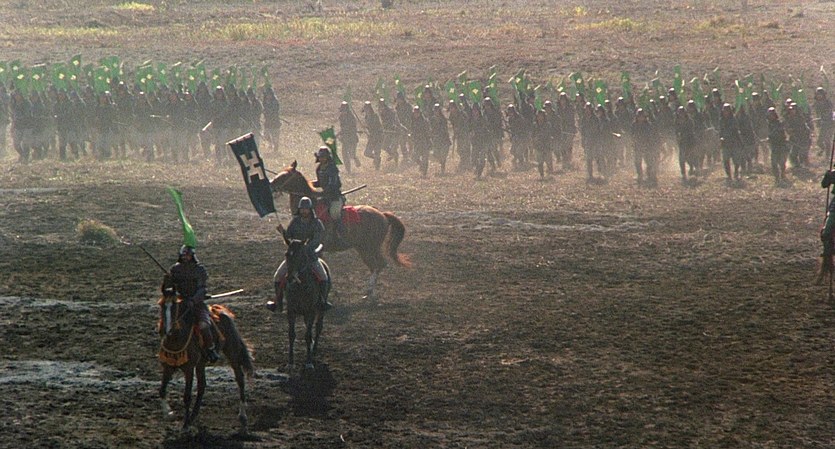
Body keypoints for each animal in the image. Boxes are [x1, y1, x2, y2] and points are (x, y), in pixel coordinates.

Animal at [157, 283, 255, 432]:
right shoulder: (168, 366)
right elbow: (162, 391)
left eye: (175, 306)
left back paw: (243, 416)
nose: (168, 330)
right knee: (202, 385)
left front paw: (185, 425)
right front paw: (169, 414)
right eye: (162, 305)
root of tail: (221, 311)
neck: (176, 339)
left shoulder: (189, 368)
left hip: (231, 352)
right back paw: (193, 417)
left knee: (240, 379)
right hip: (201, 363)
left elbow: (187, 396)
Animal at [269, 160, 411, 298]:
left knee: (380, 264)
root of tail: (382, 215)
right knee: (374, 266)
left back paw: (370, 291)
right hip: (363, 248)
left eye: (283, 176)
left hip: (371, 247)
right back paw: (369, 291)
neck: (310, 211)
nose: (270, 186)